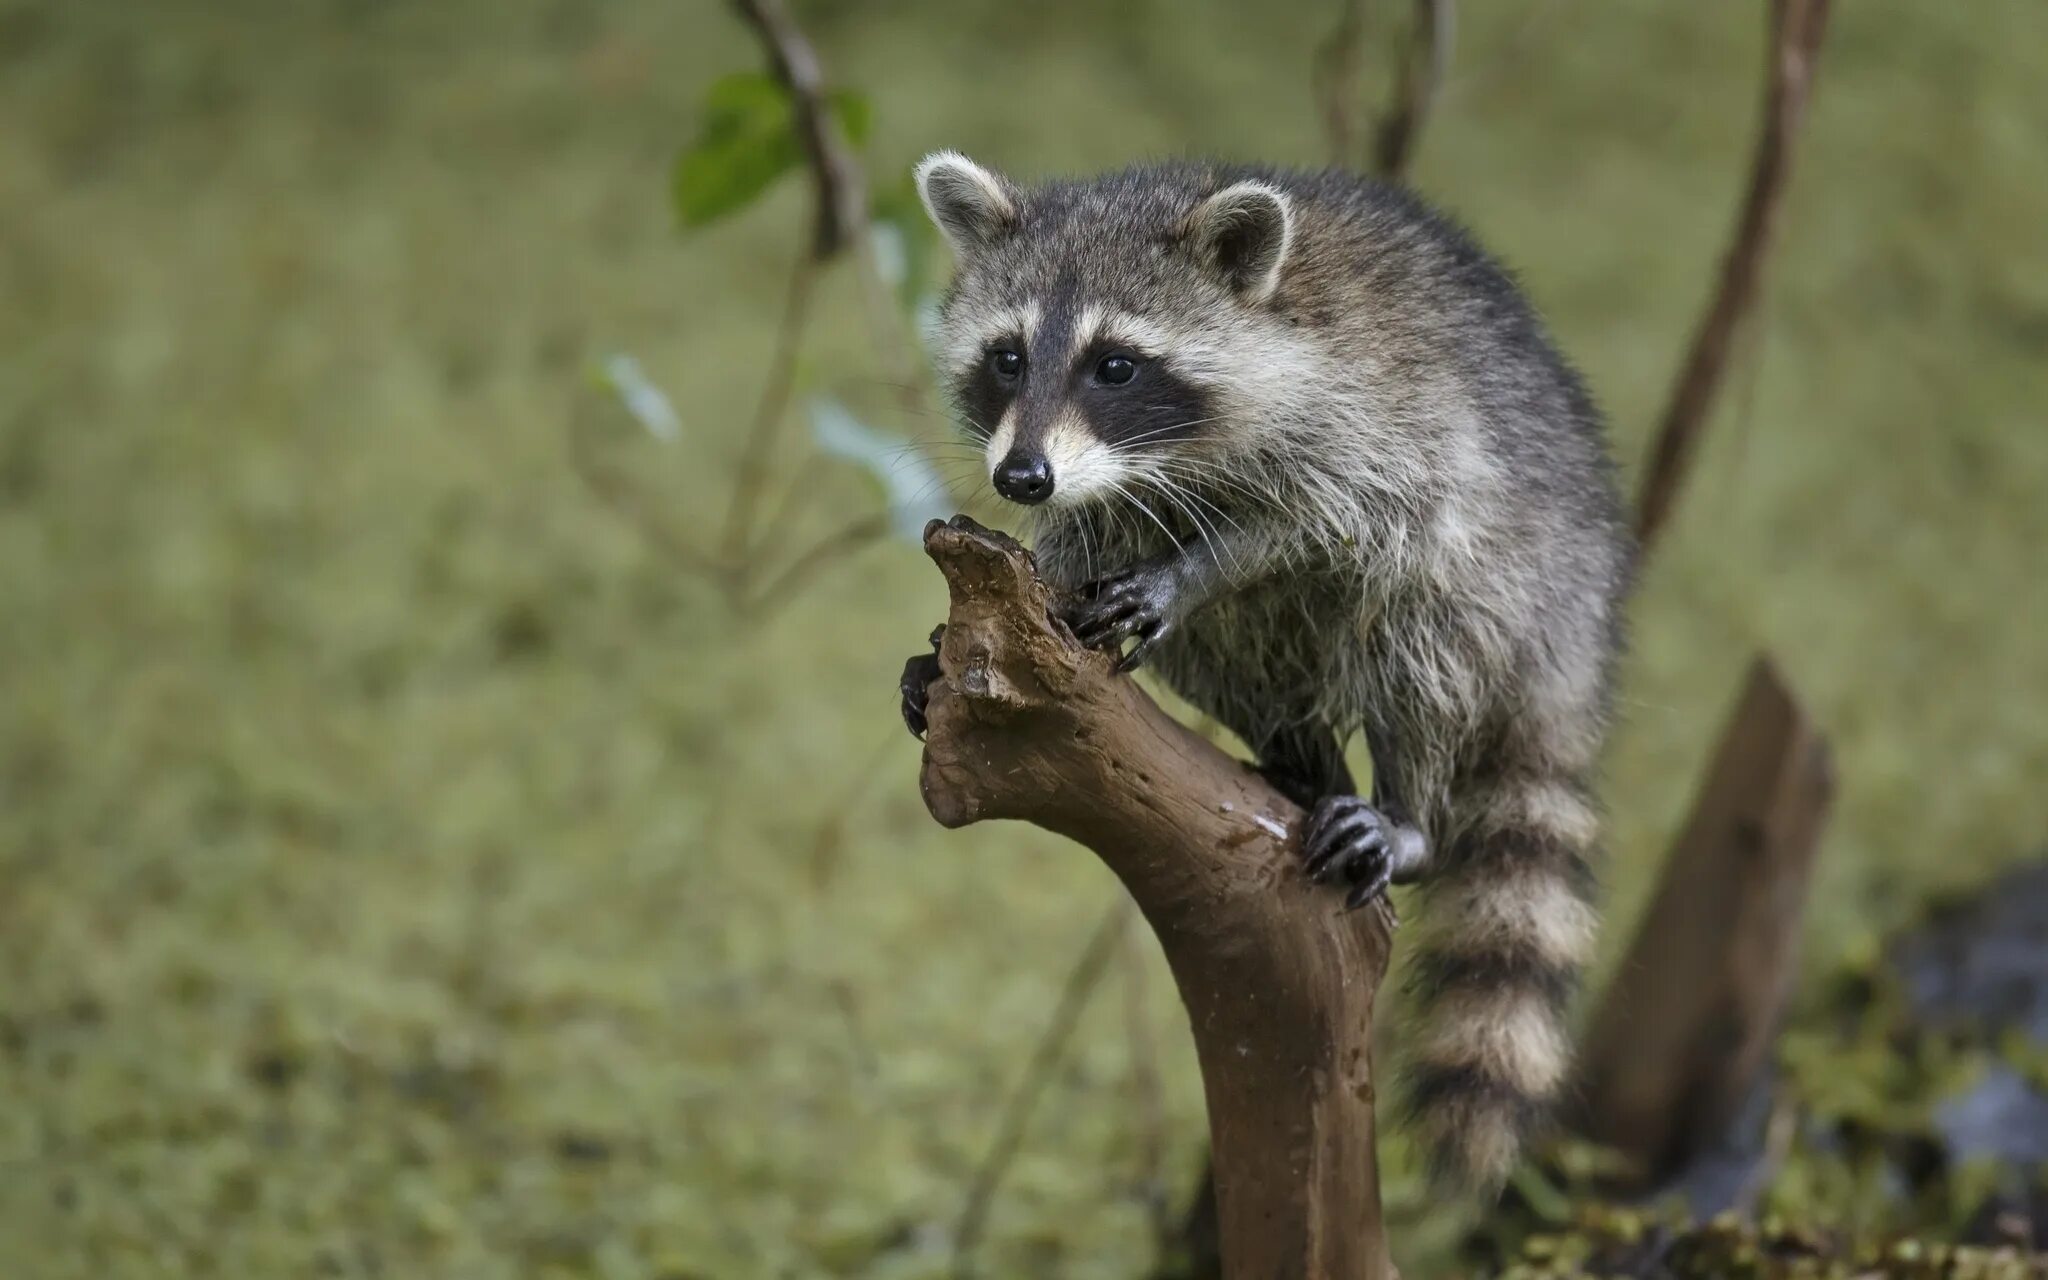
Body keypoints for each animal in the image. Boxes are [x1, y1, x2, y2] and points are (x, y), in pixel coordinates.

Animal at [897, 152, 1630, 1187]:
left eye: (1115, 365)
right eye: (1007, 357)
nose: (1021, 478)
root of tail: (1583, 627)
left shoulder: (1374, 423)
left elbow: (1322, 528)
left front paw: (1193, 569)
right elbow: (1081, 546)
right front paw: (967, 635)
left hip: (1512, 578)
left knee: (1418, 639)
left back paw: (1406, 811)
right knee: (1229, 661)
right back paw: (1300, 759)